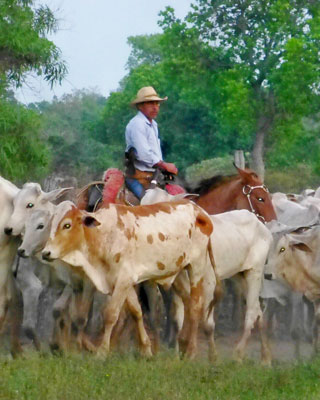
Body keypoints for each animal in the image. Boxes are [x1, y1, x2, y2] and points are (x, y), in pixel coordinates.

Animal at [41, 200, 219, 360]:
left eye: (67, 225)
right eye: (50, 225)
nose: (46, 253)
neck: (104, 234)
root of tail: (199, 211)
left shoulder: (123, 279)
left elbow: (111, 314)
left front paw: (101, 353)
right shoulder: (125, 282)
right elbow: (136, 312)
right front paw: (146, 350)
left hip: (196, 267)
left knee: (195, 306)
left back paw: (191, 352)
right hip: (179, 272)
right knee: (188, 302)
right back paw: (183, 344)